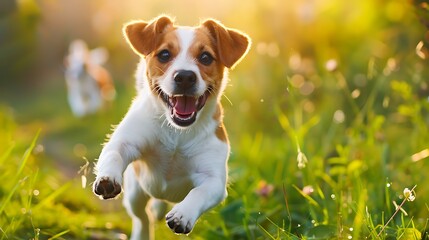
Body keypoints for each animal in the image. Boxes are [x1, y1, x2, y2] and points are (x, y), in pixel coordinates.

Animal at [92, 15, 249, 239]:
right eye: (164, 54)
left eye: (205, 57)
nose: (184, 76)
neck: (177, 133)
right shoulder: (125, 143)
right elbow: (114, 153)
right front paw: (107, 178)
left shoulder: (214, 180)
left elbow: (199, 192)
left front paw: (183, 214)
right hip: (135, 192)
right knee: (142, 217)